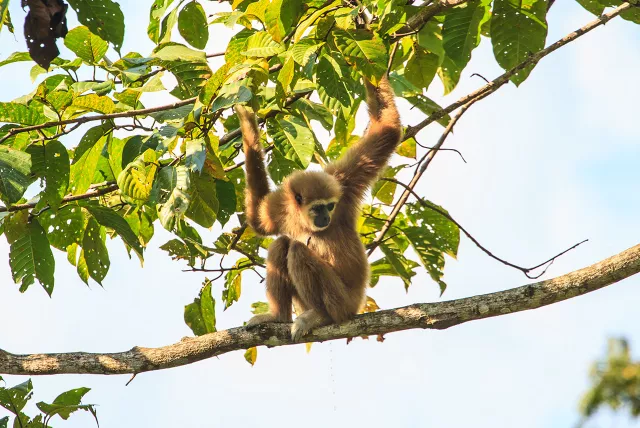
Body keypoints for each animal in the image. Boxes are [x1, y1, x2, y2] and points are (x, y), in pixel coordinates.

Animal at [235, 76, 402, 341]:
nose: (325, 217)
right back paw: (278, 316)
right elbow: (258, 221)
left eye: (331, 206)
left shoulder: (344, 183)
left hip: (342, 302)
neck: (301, 218)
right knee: (282, 243)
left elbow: (387, 131)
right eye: (317, 208)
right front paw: (246, 118)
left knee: (296, 250)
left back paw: (321, 316)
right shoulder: (282, 207)